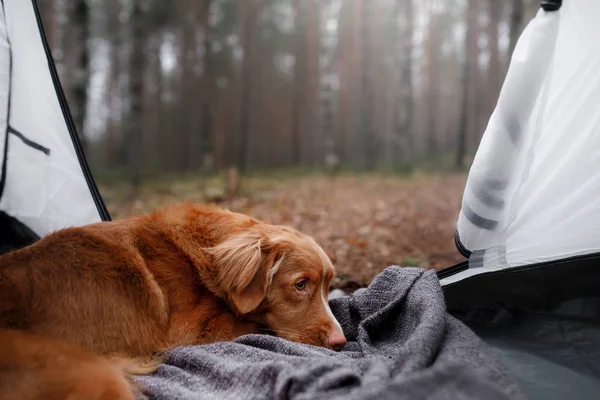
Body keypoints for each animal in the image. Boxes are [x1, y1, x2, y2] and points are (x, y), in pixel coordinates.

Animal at [0, 203, 346, 396]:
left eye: (329, 285)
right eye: (300, 285)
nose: (341, 342)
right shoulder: (193, 332)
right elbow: (252, 325)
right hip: (96, 375)